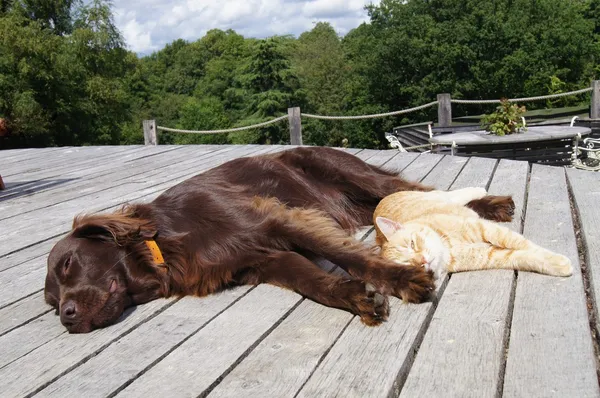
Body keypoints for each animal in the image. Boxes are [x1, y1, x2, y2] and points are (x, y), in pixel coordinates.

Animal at [43, 146, 516, 332]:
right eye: (50, 303)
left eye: (68, 264)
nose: (67, 317)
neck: (168, 242)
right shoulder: (263, 260)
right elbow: (315, 282)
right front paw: (358, 297)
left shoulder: (273, 222)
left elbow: (348, 256)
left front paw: (402, 280)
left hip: (352, 174)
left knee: (423, 191)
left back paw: (493, 205)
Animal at [372, 187, 576, 278]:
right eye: (408, 265)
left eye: (412, 244)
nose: (422, 261)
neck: (447, 246)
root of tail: (383, 199)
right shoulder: (490, 256)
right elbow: (522, 256)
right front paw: (557, 264)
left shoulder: (486, 228)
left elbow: (522, 243)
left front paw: (553, 256)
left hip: (440, 197)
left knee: (451, 193)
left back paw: (479, 189)